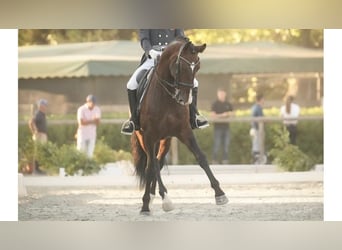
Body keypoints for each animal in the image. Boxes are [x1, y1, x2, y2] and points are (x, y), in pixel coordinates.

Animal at [132, 37, 228, 215]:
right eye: (180, 67)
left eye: (197, 67)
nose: (185, 100)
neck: (167, 97)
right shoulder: (149, 136)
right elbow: (151, 166)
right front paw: (162, 201)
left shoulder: (184, 131)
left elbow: (201, 157)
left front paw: (220, 194)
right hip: (145, 138)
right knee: (151, 164)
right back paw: (150, 200)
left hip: (166, 140)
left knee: (158, 162)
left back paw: (152, 195)